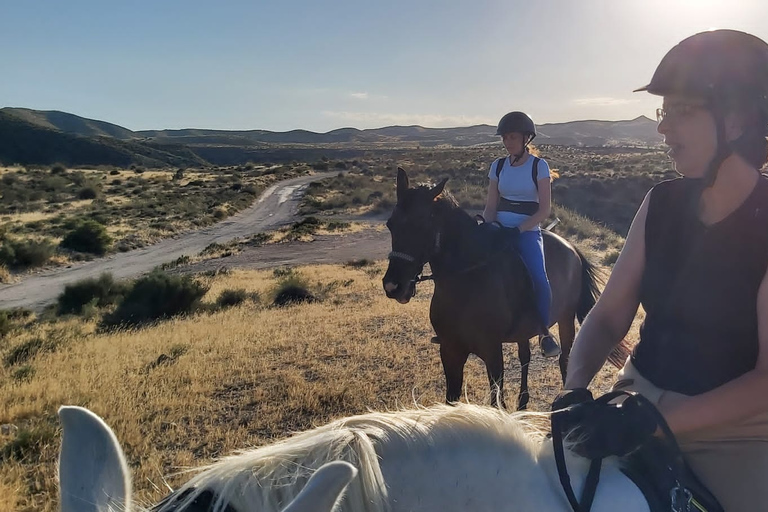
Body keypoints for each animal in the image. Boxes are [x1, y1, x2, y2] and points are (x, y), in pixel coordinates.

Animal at [382, 170, 612, 410]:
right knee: (525, 357)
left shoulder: (492, 352)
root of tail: (571, 247)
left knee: (564, 359)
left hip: (566, 319)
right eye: (390, 224)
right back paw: (522, 401)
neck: (467, 281)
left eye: (422, 224)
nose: (393, 286)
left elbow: (496, 402)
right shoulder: (449, 350)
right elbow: (451, 400)